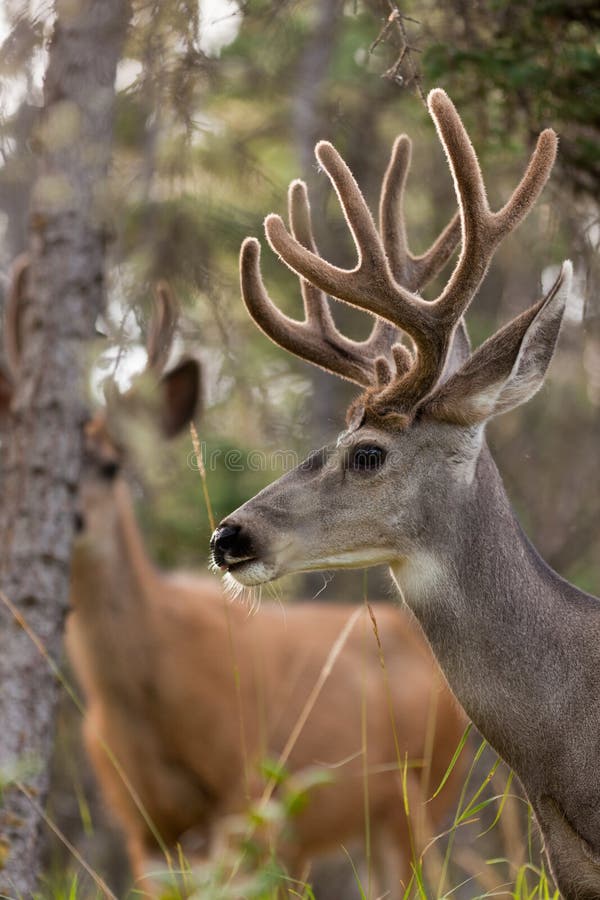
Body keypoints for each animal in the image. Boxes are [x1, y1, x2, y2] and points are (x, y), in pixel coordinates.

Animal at [0, 263, 469, 899]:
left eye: (112, 466)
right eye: (14, 466)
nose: (72, 520)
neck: (147, 689)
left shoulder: (245, 784)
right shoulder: (142, 823)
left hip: (423, 791)